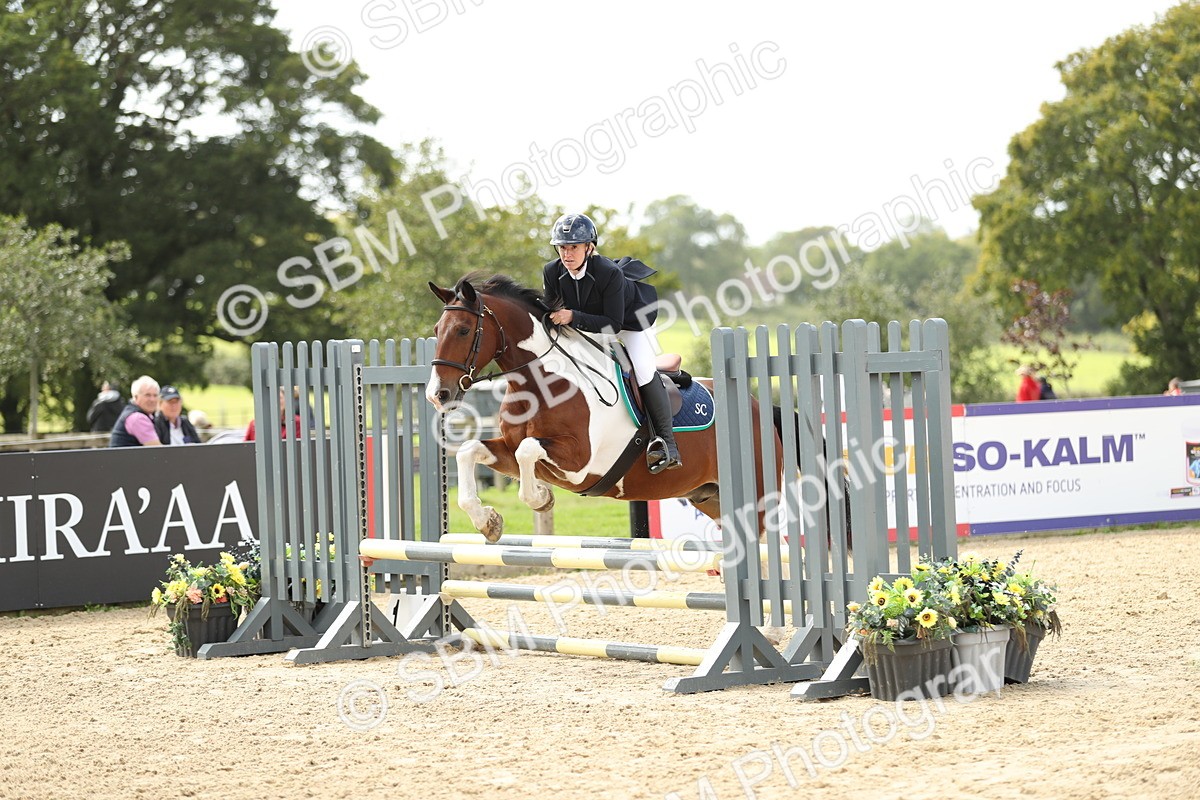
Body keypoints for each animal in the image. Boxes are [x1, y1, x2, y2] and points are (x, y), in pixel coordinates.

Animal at [426, 273, 798, 546]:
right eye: (436, 331)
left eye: (463, 330)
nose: (437, 395)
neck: (541, 383)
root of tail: (758, 407)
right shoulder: (509, 449)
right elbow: (471, 451)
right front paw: (489, 521)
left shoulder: (579, 462)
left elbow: (528, 451)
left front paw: (540, 499)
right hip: (710, 497)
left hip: (758, 496)